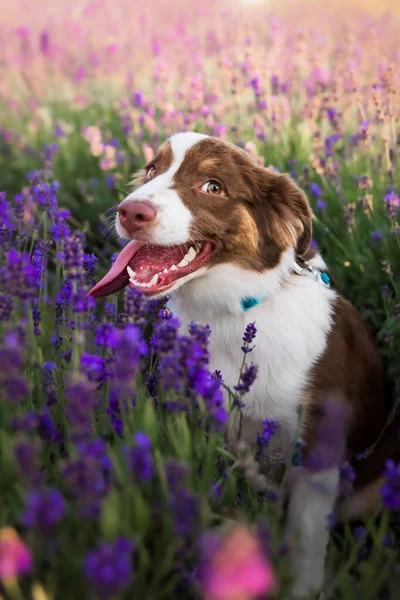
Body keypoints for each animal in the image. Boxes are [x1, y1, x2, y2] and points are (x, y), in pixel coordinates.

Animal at [90, 131, 400, 596]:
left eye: (213, 187)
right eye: (151, 170)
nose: (130, 211)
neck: (229, 313)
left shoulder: (317, 457)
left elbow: (307, 540)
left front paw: (302, 588)